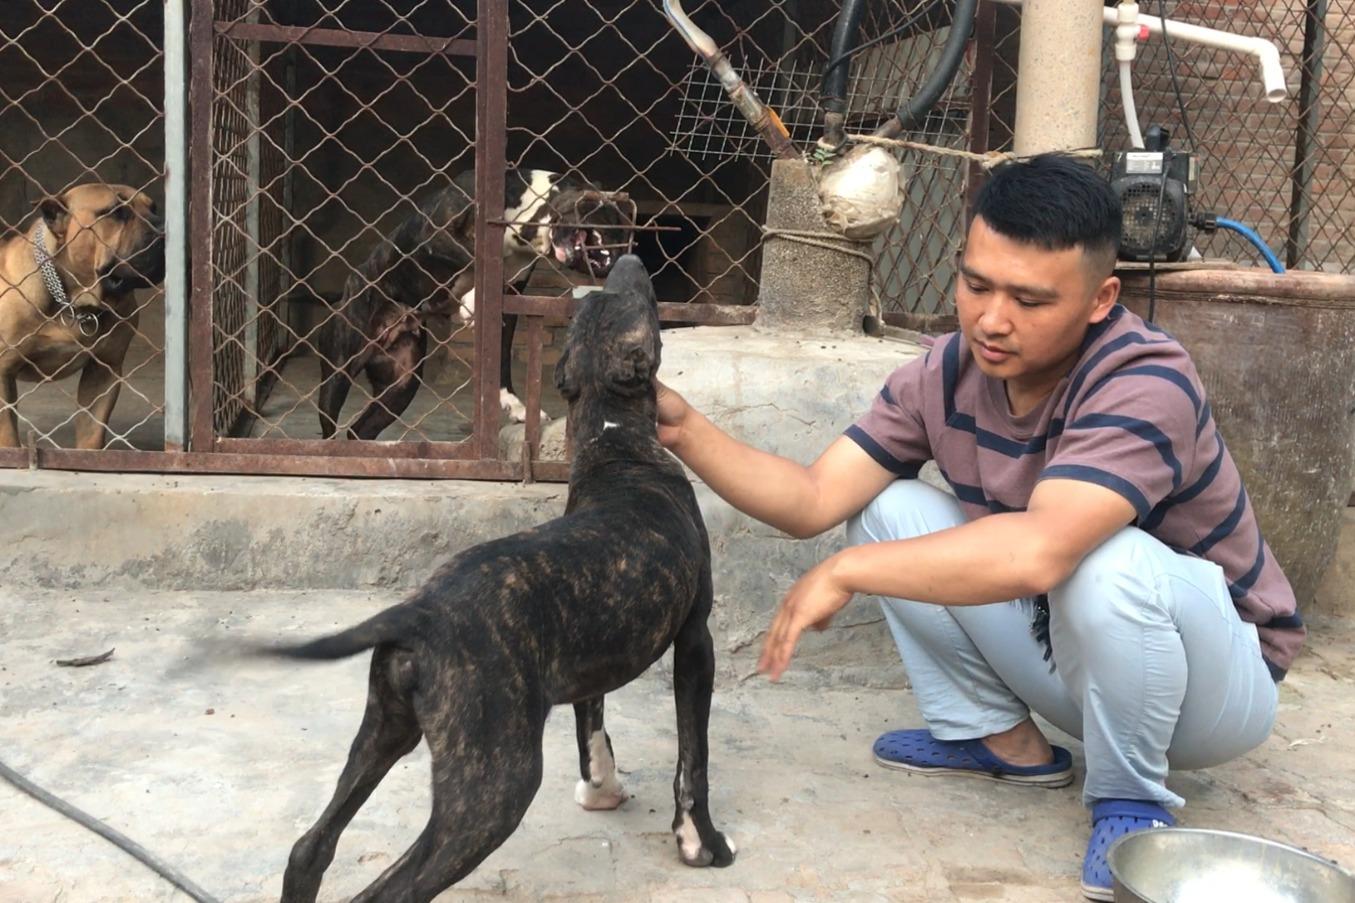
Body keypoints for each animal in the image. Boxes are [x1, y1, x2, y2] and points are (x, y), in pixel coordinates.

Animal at [0, 184, 165, 450]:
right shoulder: (3, 372)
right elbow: (7, 435)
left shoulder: (104, 370)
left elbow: (92, 433)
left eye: (154, 208)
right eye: (117, 212)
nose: (164, 229)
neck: (73, 302)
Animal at [317, 168, 634, 439]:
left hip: (401, 385)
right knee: (329, 428)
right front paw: (469, 301)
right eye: (610, 220)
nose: (621, 257)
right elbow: (477, 257)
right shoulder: (439, 235)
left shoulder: (510, 297)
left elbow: (502, 358)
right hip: (338, 372)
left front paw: (516, 406)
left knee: (359, 431)